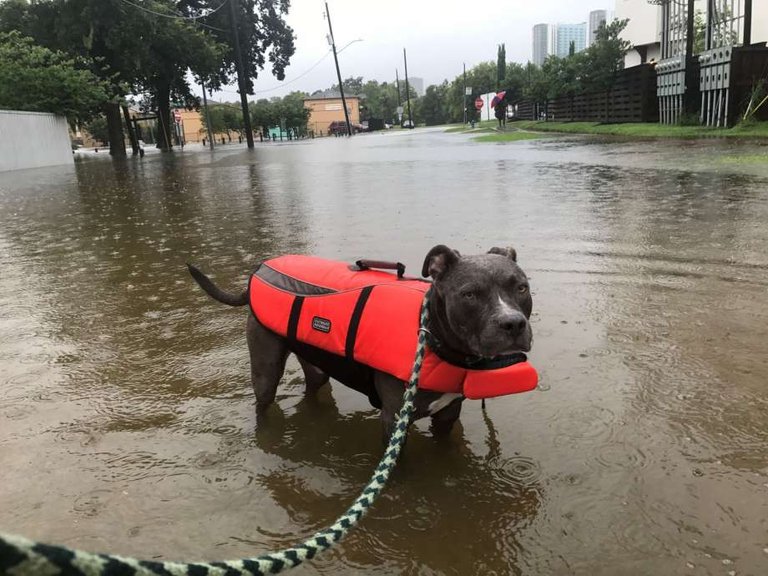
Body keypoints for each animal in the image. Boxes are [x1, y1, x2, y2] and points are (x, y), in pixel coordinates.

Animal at [189, 245, 532, 438]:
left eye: (522, 287)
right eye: (470, 294)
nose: (513, 323)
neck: (433, 338)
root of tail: (257, 273)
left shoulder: (448, 414)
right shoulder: (394, 420)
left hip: (315, 363)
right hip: (266, 367)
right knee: (263, 401)